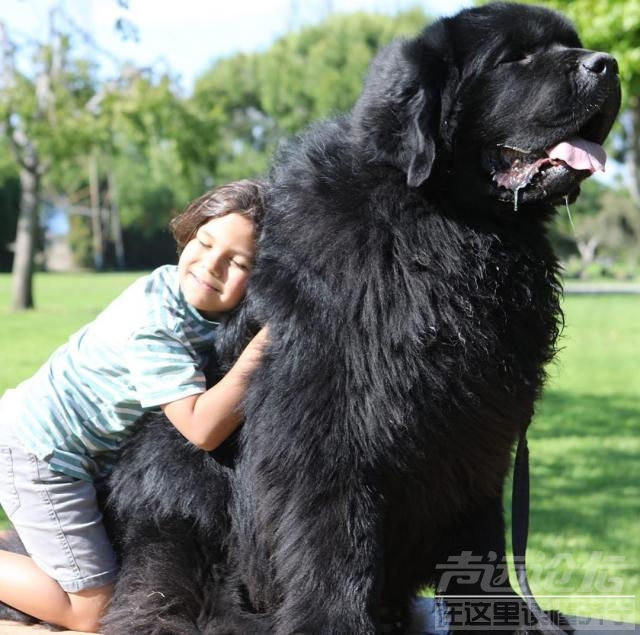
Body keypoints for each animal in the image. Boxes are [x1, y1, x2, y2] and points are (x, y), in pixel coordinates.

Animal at [0, 1, 620, 635]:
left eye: (572, 42)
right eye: (515, 58)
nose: (608, 63)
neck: (444, 227)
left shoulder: (478, 434)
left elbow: (484, 543)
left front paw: (504, 618)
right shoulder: (330, 425)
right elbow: (333, 536)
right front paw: (334, 621)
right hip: (179, 482)